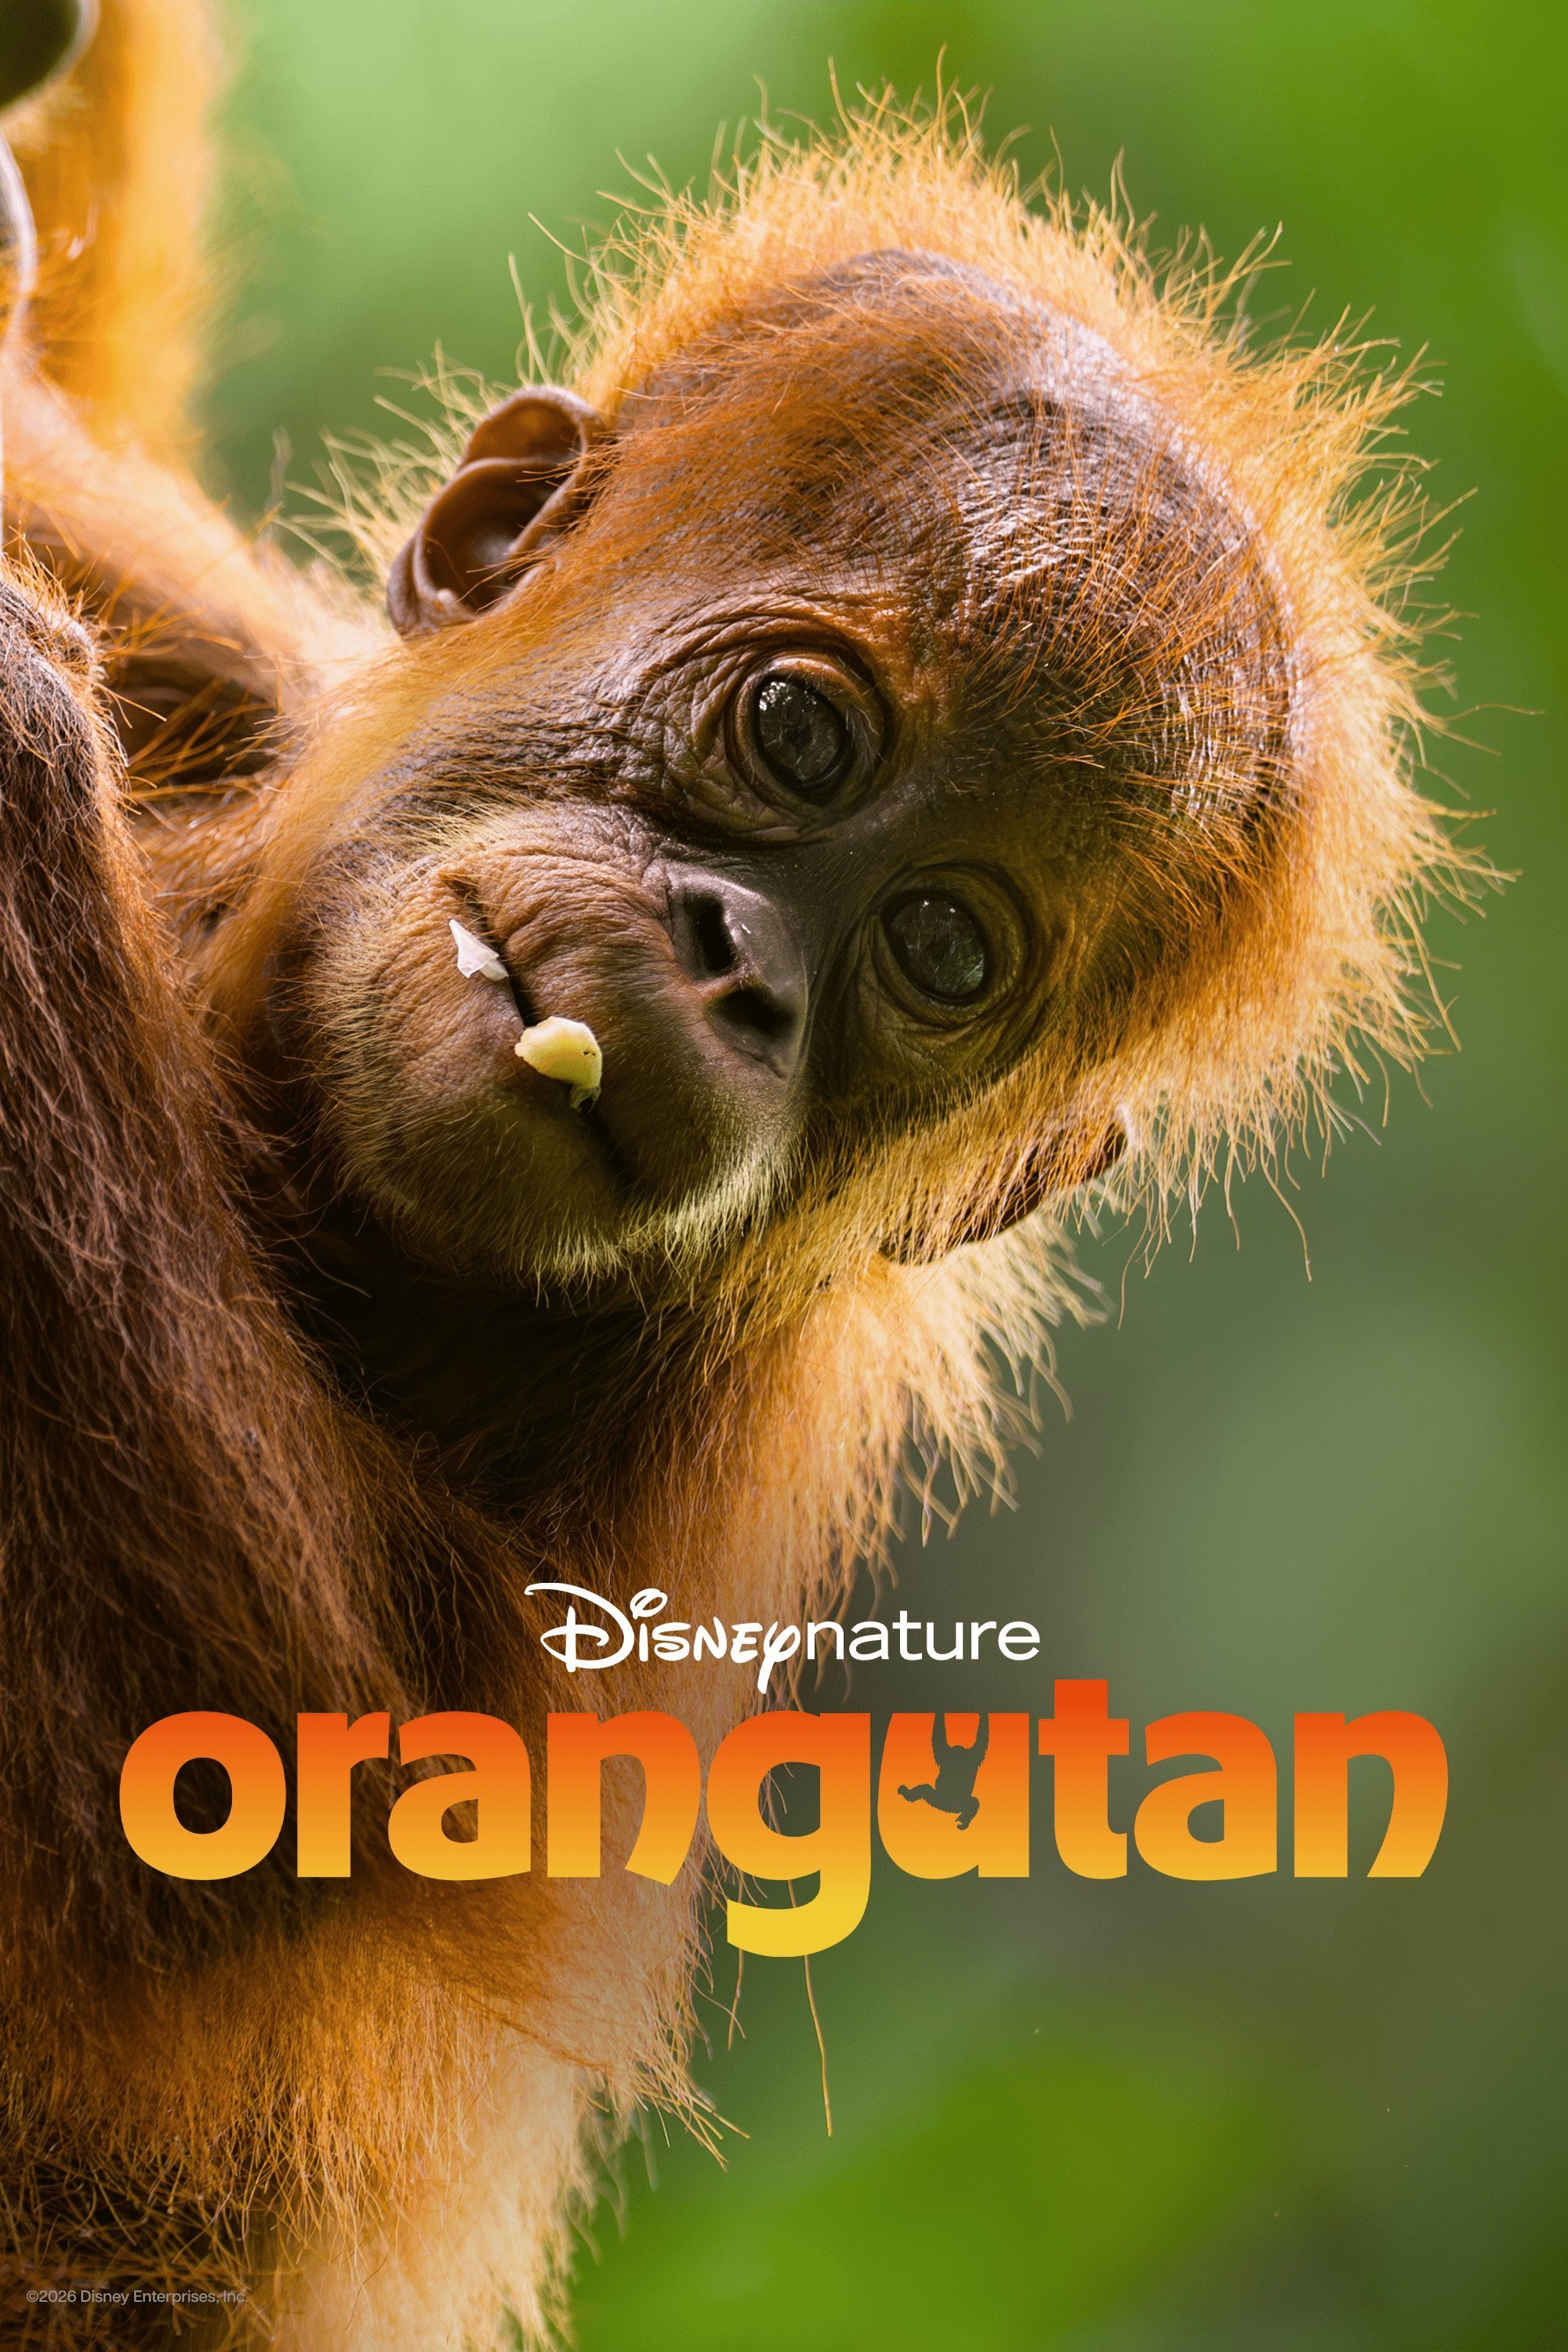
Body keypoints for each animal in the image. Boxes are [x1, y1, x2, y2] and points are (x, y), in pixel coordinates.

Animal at [0, 2, 1470, 2344]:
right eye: (798, 734)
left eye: (943, 950)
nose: (738, 969)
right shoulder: (241, 664)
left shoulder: (677, 1463)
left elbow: (245, 1774)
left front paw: (13, 723)